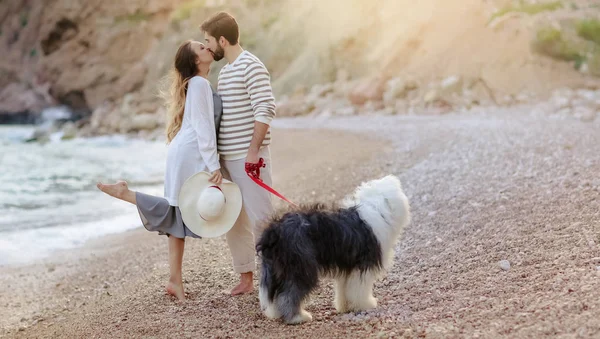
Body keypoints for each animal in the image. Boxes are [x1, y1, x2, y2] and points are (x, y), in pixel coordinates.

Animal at [255, 177, 410, 326]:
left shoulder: (348, 267)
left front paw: (344, 306)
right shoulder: (363, 266)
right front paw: (365, 304)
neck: (376, 207)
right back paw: (297, 317)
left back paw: (276, 313)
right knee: (288, 293)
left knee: (274, 293)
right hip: (301, 267)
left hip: (275, 268)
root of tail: (273, 231)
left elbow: (344, 289)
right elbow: (360, 289)